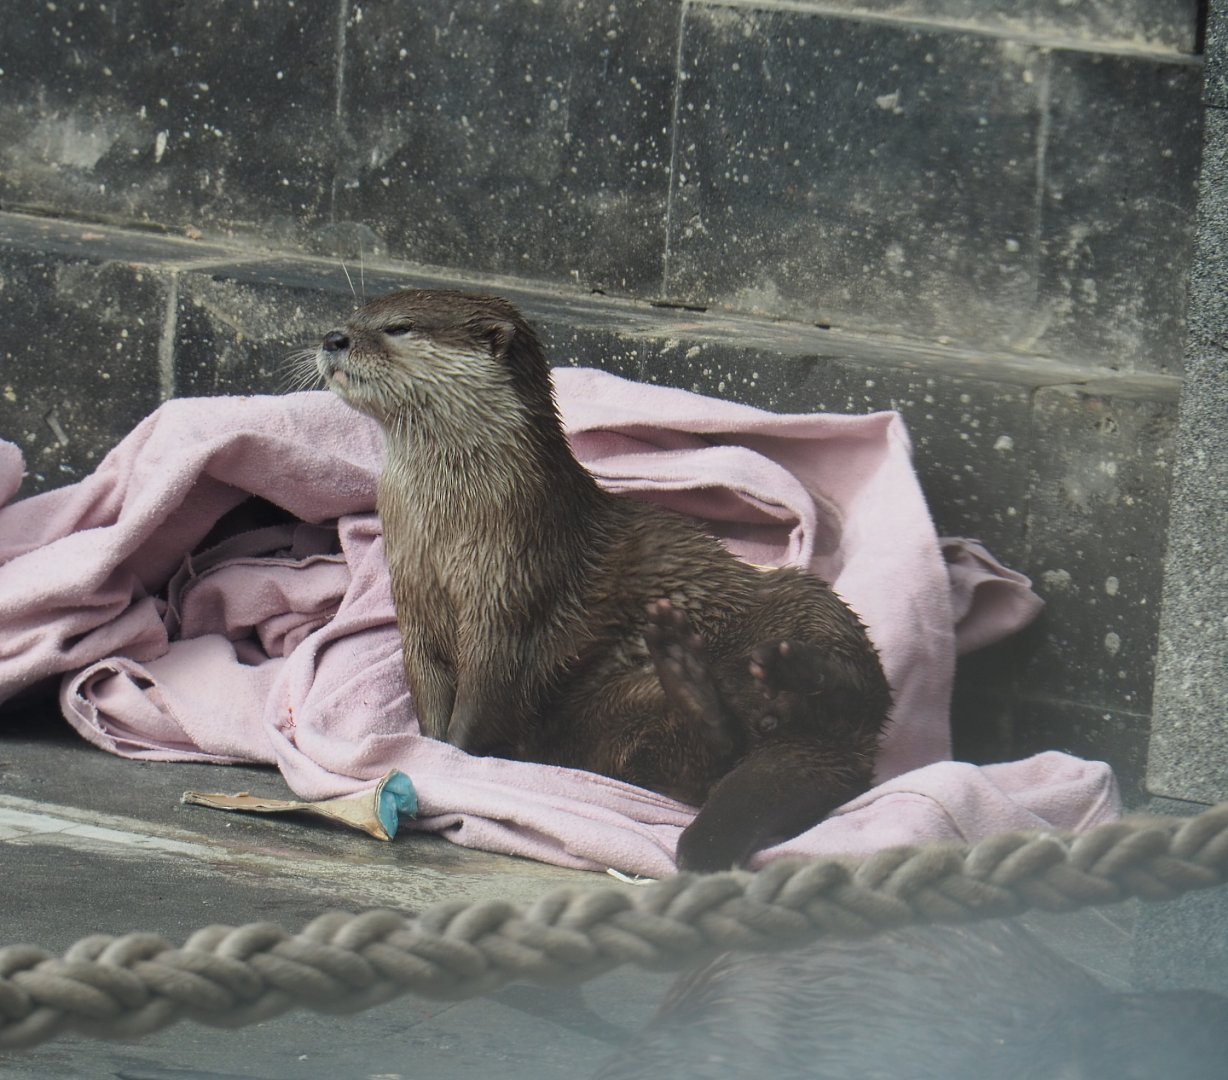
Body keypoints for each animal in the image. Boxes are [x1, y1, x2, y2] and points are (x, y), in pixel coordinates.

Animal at [316, 288, 890, 870]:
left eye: (399, 327)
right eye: (356, 314)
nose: (333, 337)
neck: (453, 524)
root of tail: (842, 748)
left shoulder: (512, 593)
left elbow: (485, 692)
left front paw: (453, 757)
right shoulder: (414, 598)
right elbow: (427, 684)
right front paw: (431, 745)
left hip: (814, 606)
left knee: (855, 688)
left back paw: (785, 667)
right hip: (612, 724)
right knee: (710, 755)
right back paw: (692, 671)